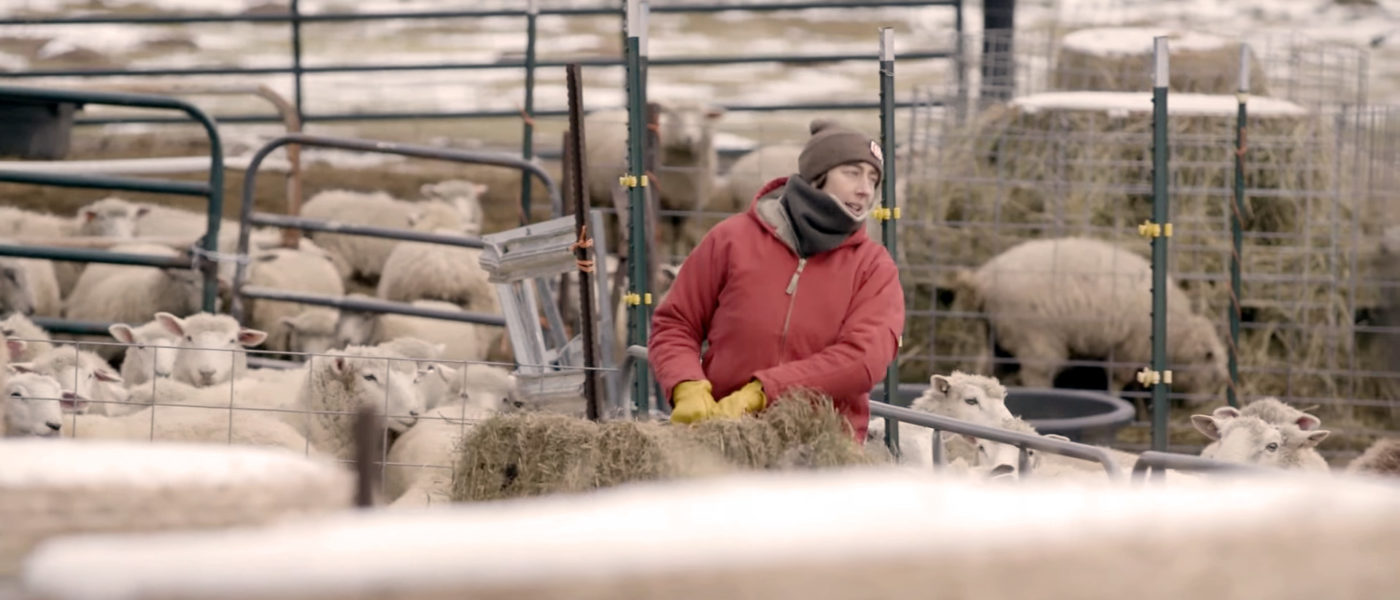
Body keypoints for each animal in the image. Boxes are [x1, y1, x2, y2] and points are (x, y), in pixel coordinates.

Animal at [585, 100, 728, 253]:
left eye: (701, 116)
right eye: (674, 115)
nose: (689, 138)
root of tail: (599, 112)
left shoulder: (686, 205)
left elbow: (678, 235)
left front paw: (676, 254)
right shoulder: (662, 204)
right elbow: (665, 236)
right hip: (595, 192)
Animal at [952, 236, 1226, 405]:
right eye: (1214, 376)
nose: (1201, 404)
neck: (1175, 333)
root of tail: (982, 280)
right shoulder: (1127, 348)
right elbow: (1118, 379)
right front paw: (1116, 397)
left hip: (997, 335)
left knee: (986, 367)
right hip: (1035, 337)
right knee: (1036, 376)